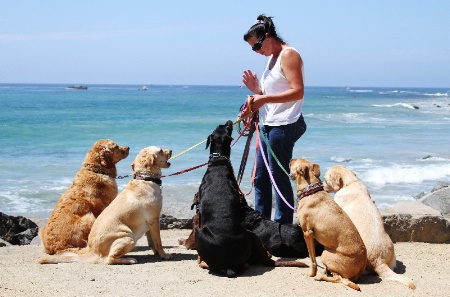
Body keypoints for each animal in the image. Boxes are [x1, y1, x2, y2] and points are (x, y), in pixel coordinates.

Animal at [39, 146, 173, 264]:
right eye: (161, 150)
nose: (171, 150)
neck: (146, 178)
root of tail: (92, 251)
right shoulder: (154, 219)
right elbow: (158, 242)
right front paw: (164, 255)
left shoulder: (149, 222)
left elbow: (152, 241)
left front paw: (156, 253)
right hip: (128, 237)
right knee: (109, 259)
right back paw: (129, 260)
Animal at [290, 157, 368, 290]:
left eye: (295, 161)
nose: (291, 159)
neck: (311, 191)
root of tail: (360, 269)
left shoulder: (307, 233)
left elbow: (312, 259)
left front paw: (312, 273)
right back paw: (326, 272)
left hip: (325, 254)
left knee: (339, 279)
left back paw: (321, 276)